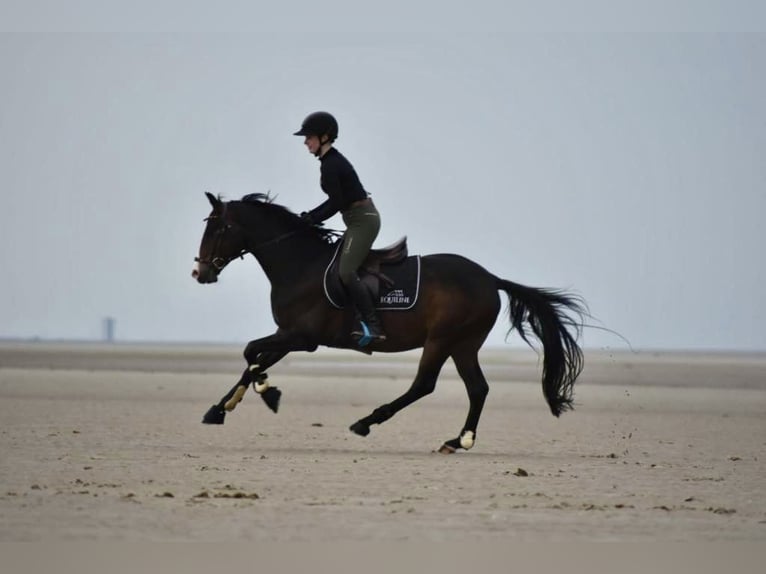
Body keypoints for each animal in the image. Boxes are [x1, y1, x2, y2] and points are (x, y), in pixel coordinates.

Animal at [191, 192, 586, 453]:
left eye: (218, 228)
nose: (200, 273)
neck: (300, 265)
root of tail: (490, 278)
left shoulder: (301, 337)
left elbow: (251, 353)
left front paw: (268, 394)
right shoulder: (287, 335)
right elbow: (255, 359)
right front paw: (220, 408)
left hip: (442, 340)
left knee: (424, 385)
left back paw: (366, 423)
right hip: (464, 344)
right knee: (478, 388)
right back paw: (459, 440)